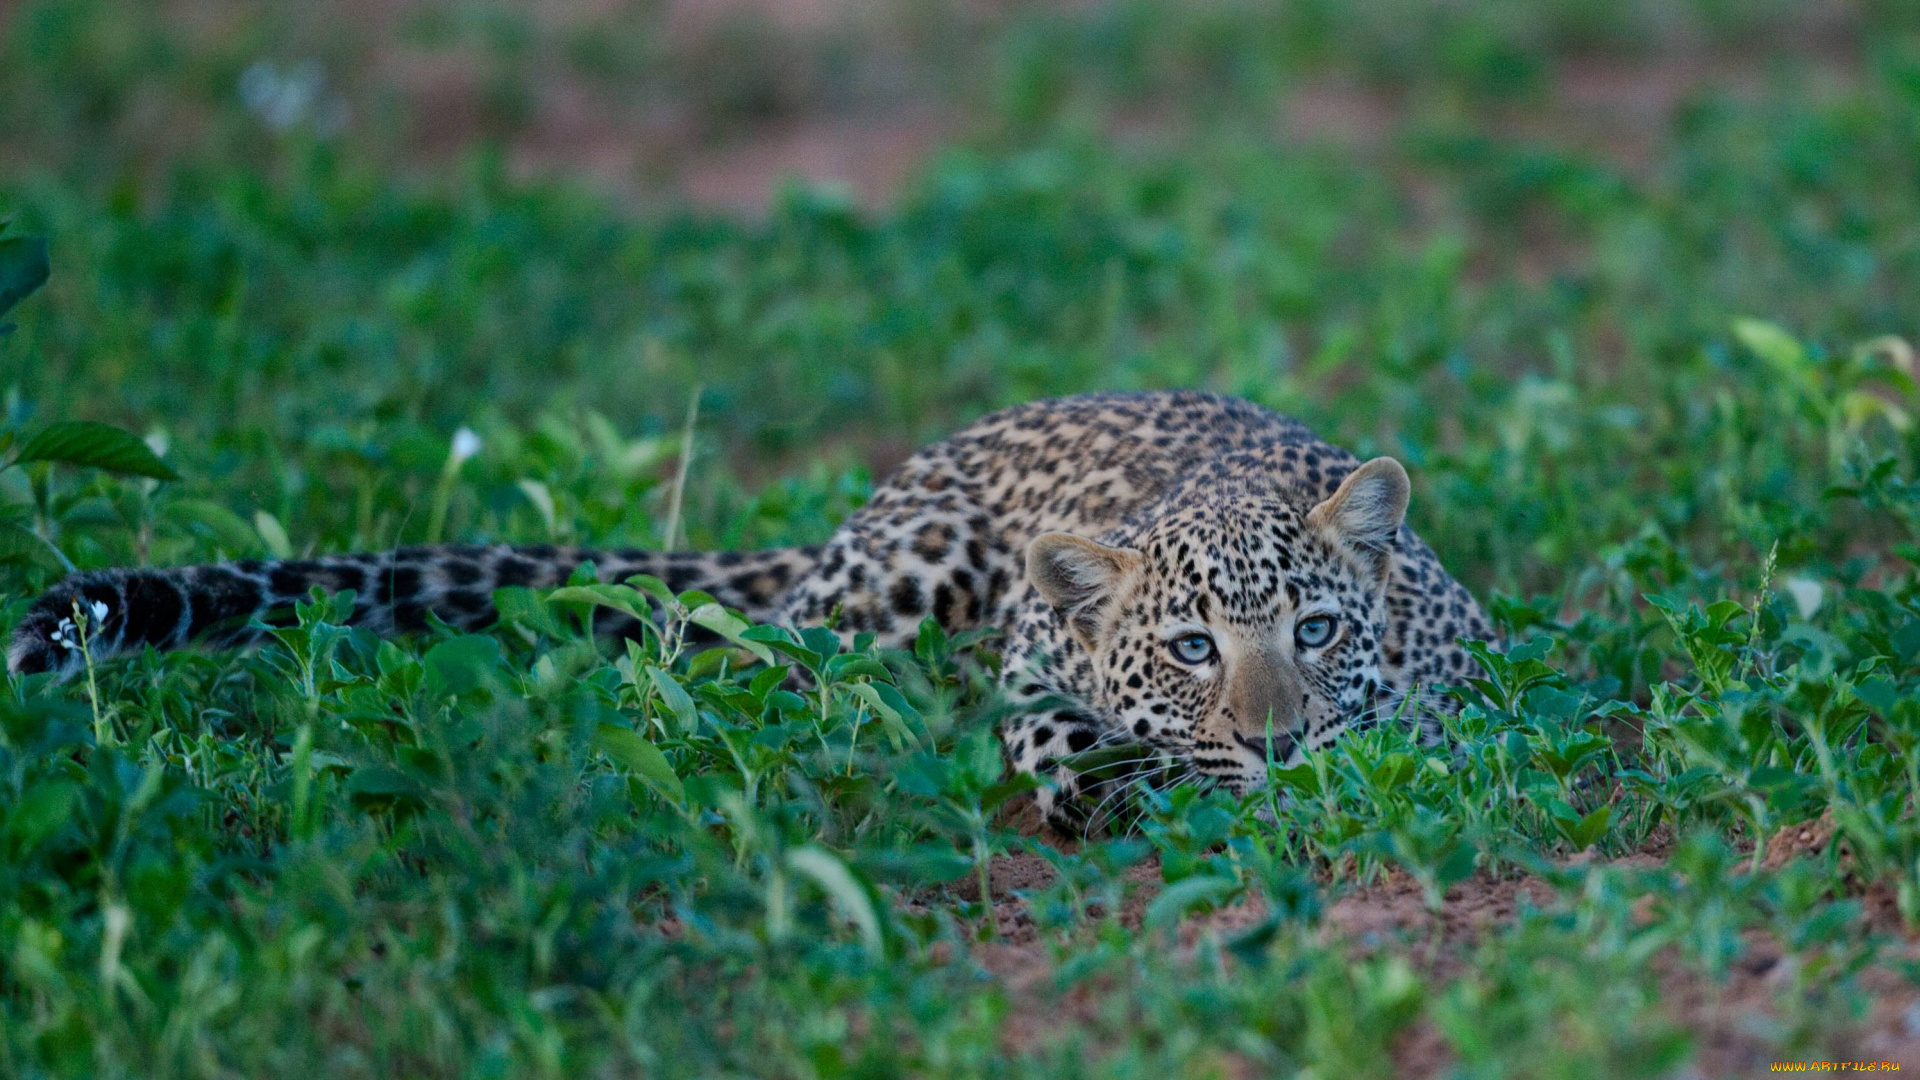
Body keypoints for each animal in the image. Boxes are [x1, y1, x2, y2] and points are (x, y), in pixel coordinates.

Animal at [7, 390, 1495, 823]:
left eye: (1316, 630)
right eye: (1192, 649)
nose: (1275, 742)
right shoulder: (1033, 673)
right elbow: (1071, 744)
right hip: (894, 592)